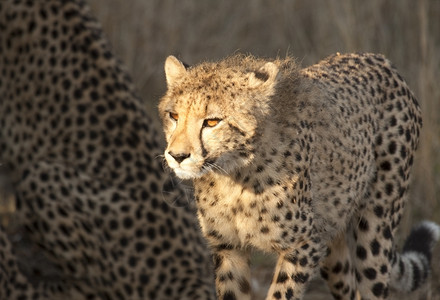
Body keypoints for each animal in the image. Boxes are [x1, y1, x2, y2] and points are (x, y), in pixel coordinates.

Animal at [159, 54, 440, 300]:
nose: (177, 155)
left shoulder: (304, 245)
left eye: (212, 121)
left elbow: (281, 293)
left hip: (374, 230)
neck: (233, 175)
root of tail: (379, 60)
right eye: (174, 116)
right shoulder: (229, 248)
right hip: (333, 241)